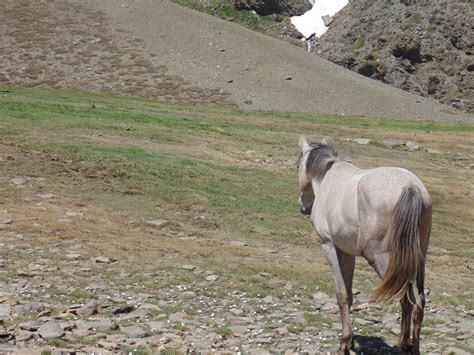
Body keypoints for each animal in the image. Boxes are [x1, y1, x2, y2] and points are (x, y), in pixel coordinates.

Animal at [298, 136, 432, 355]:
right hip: (418, 260)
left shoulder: (329, 247)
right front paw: (350, 341)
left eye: (297, 165)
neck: (329, 179)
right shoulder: (347, 252)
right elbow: (350, 294)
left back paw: (404, 343)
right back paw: (413, 347)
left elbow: (342, 294)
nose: (302, 207)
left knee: (406, 299)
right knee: (419, 303)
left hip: (384, 260)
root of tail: (410, 186)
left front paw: (344, 344)